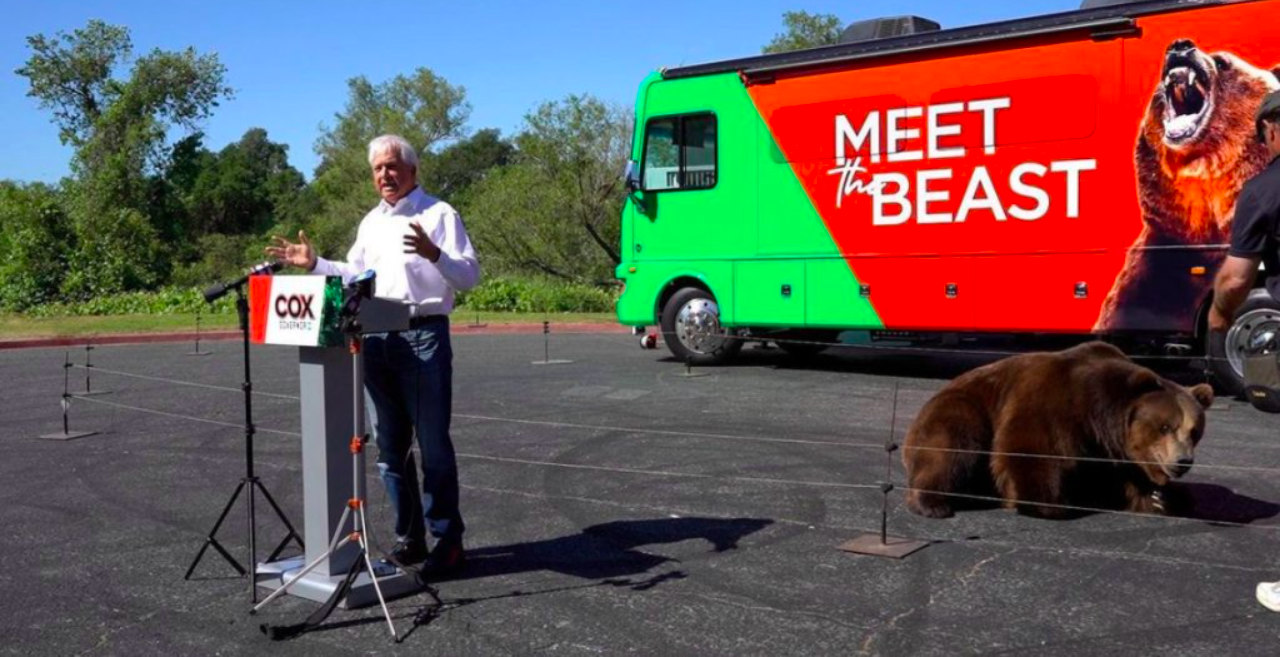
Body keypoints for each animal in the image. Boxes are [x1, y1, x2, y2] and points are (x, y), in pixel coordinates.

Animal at [901, 343, 1208, 517]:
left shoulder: (1110, 452)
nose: (1183, 461)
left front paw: (1162, 499)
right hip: (962, 409)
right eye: (1165, 426)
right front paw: (1049, 503)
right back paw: (933, 503)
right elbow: (1032, 451)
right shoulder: (1056, 404)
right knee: (952, 446)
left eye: (1194, 431)